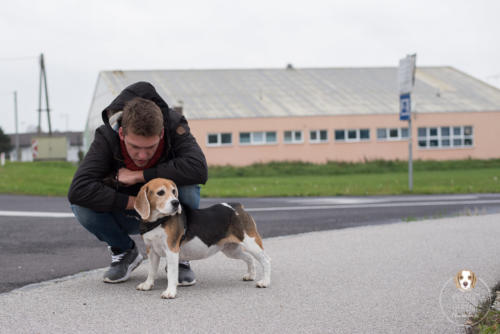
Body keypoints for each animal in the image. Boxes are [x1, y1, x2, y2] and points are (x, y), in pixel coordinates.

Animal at [135, 179, 272, 298]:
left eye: (174, 191)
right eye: (160, 192)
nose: (176, 203)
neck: (158, 221)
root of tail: (237, 206)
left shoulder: (172, 250)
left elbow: (172, 274)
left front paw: (170, 292)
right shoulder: (152, 251)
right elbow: (151, 270)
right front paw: (147, 285)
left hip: (251, 243)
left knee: (266, 260)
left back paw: (264, 282)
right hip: (231, 250)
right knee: (249, 258)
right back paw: (250, 275)